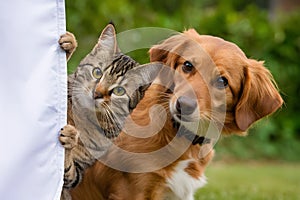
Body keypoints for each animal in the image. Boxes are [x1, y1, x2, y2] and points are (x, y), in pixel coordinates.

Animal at [58, 23, 162, 198]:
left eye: (119, 91)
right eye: (97, 72)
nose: (97, 93)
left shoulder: (76, 174)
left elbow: (68, 170)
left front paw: (71, 139)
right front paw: (69, 45)